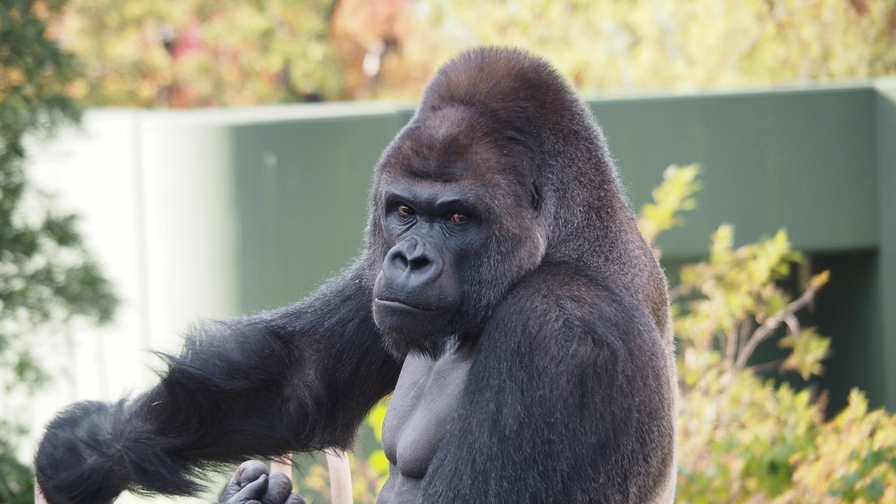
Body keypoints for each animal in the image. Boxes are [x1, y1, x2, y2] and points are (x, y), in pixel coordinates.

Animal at [35, 48, 680, 504]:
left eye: (457, 217)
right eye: (404, 210)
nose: (411, 259)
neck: (562, 244)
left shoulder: (561, 330)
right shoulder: (379, 273)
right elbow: (300, 381)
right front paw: (90, 449)